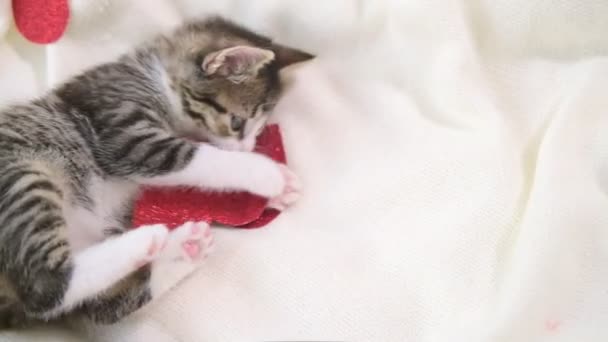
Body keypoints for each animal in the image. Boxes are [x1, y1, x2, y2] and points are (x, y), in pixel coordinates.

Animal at [0, 15, 314, 326]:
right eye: (237, 122)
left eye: (259, 129)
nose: (248, 148)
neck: (158, 78)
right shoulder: (121, 130)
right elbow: (195, 158)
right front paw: (270, 175)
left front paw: (276, 191)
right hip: (22, 173)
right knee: (44, 289)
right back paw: (146, 239)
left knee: (102, 307)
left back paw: (184, 249)